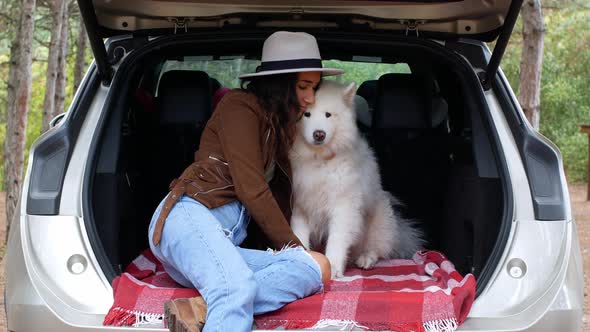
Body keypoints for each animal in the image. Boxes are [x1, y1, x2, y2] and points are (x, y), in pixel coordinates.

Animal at [290, 80, 424, 278]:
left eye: (328, 114)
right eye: (306, 114)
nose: (319, 134)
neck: (320, 160)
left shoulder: (344, 207)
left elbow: (337, 238)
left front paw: (334, 267)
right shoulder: (301, 207)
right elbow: (299, 235)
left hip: (380, 220)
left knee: (376, 248)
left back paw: (366, 259)